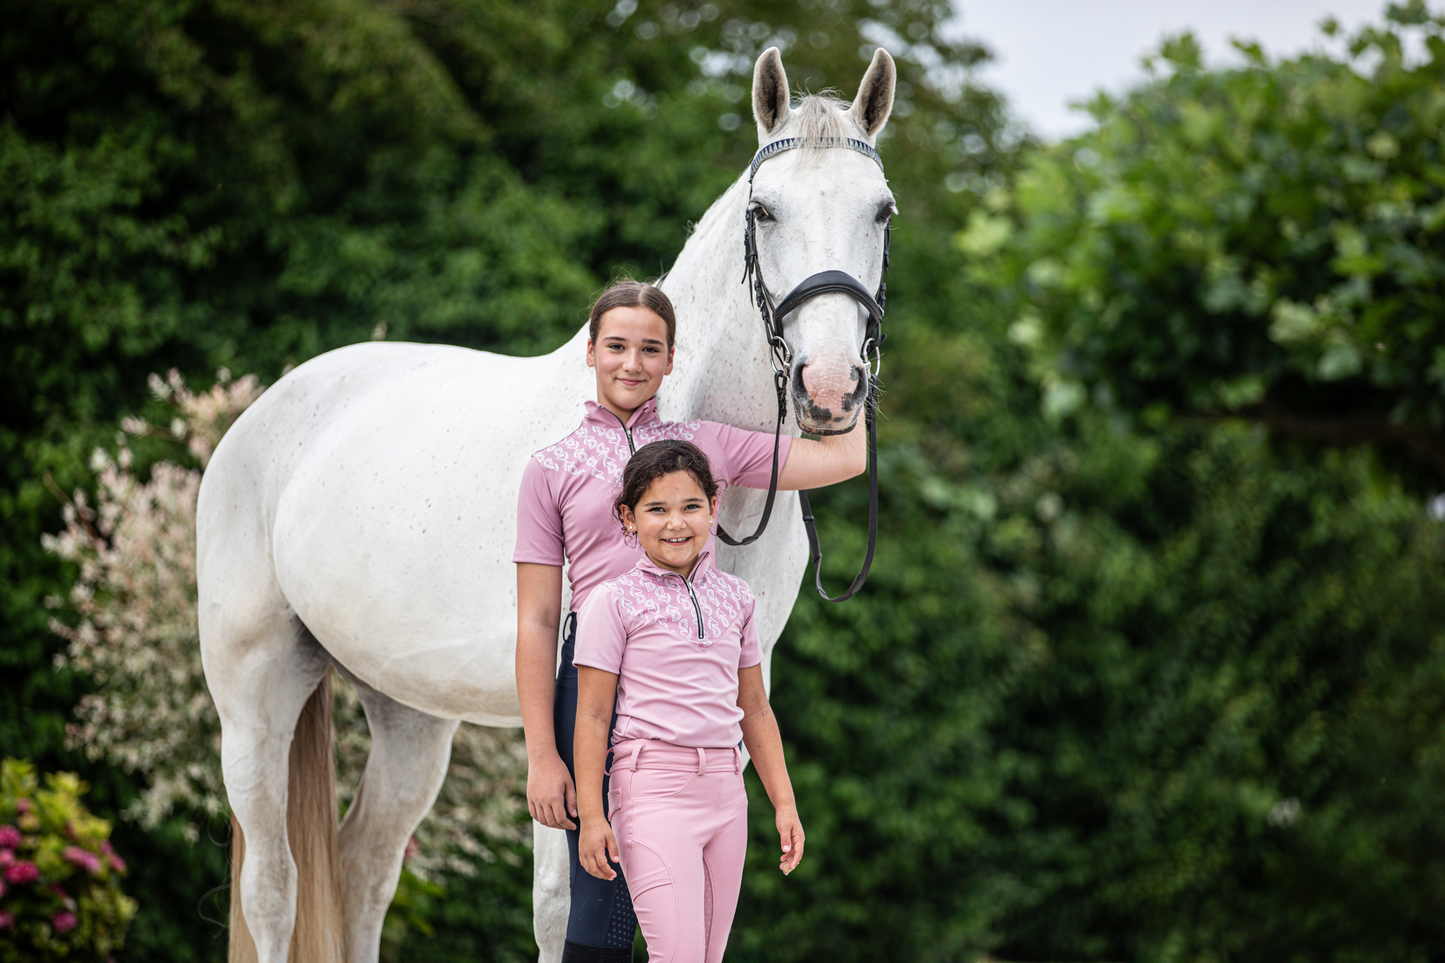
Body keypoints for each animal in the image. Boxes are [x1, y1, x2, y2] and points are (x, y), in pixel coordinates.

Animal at [192, 45, 890, 960]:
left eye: (880, 211)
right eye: (763, 210)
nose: (830, 387)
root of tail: (259, 415)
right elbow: (567, 906)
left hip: (409, 715)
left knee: (361, 871)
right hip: (255, 695)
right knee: (276, 889)